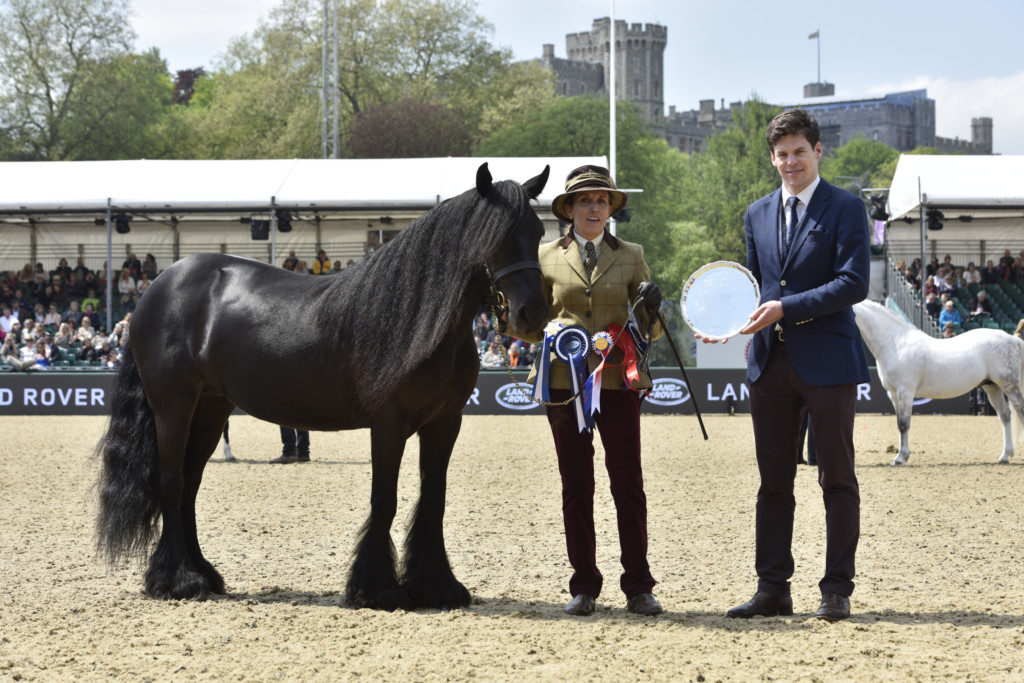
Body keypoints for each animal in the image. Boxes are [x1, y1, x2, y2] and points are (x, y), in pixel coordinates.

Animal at [96, 163, 552, 610]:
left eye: (538, 232)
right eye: (494, 235)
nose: (531, 315)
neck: (417, 322)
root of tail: (159, 286)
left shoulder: (444, 423)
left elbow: (433, 498)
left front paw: (436, 587)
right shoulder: (389, 424)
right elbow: (384, 499)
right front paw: (377, 590)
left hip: (210, 410)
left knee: (189, 485)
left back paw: (204, 575)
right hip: (173, 406)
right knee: (170, 481)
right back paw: (178, 580)